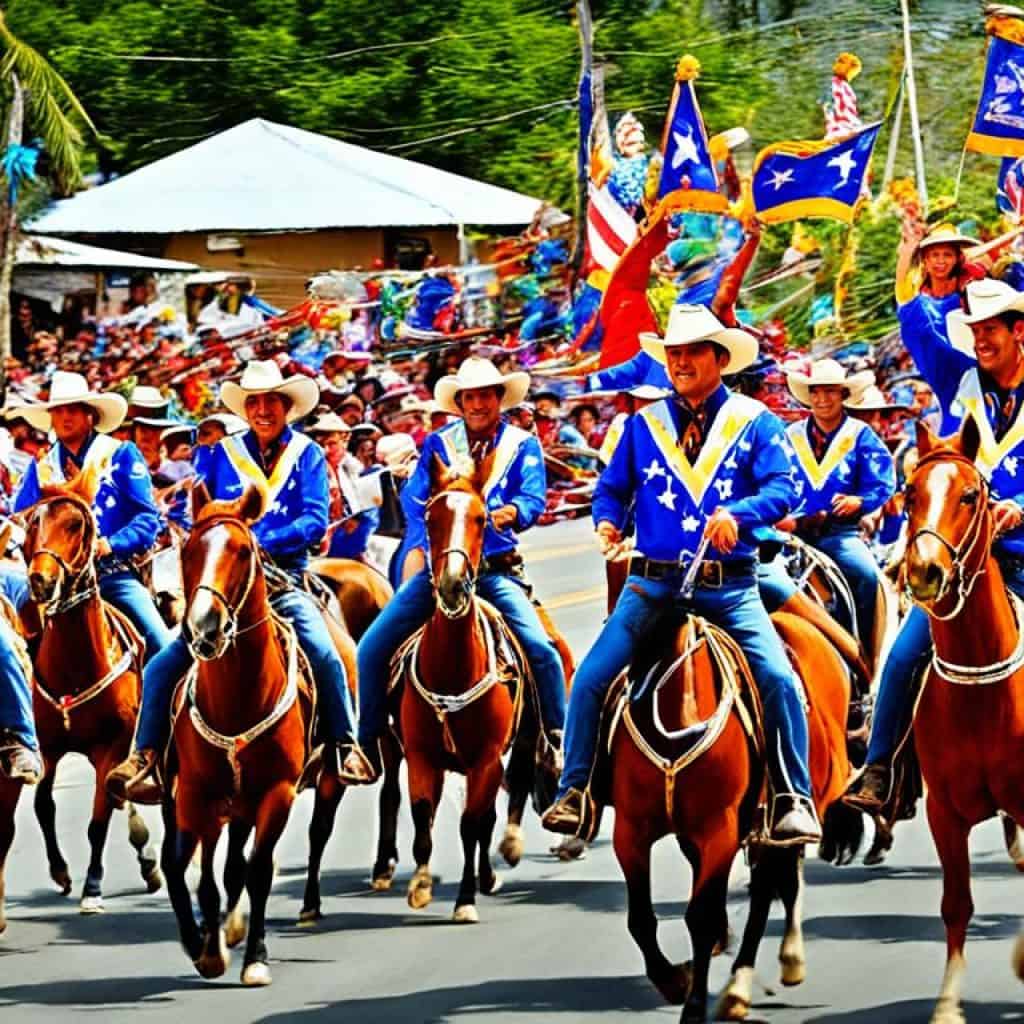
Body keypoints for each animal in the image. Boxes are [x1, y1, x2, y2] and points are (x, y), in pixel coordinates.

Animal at [21, 471, 159, 913]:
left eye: (76, 524)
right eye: (34, 521)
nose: (41, 579)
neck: (77, 665)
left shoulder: (110, 747)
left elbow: (98, 820)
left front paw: (93, 887)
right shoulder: (48, 746)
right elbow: (43, 806)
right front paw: (61, 871)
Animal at [164, 487, 327, 983]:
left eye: (241, 551)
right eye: (189, 550)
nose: (203, 627)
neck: (239, 697)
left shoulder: (278, 792)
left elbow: (258, 873)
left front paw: (255, 957)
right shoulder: (196, 793)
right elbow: (197, 877)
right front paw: (204, 947)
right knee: (208, 864)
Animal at [598, 602, 860, 1019]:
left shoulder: (719, 831)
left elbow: (701, 917)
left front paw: (693, 1003)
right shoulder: (632, 831)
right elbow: (640, 917)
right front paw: (673, 980)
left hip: (788, 813)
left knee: (771, 887)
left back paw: (745, 983)